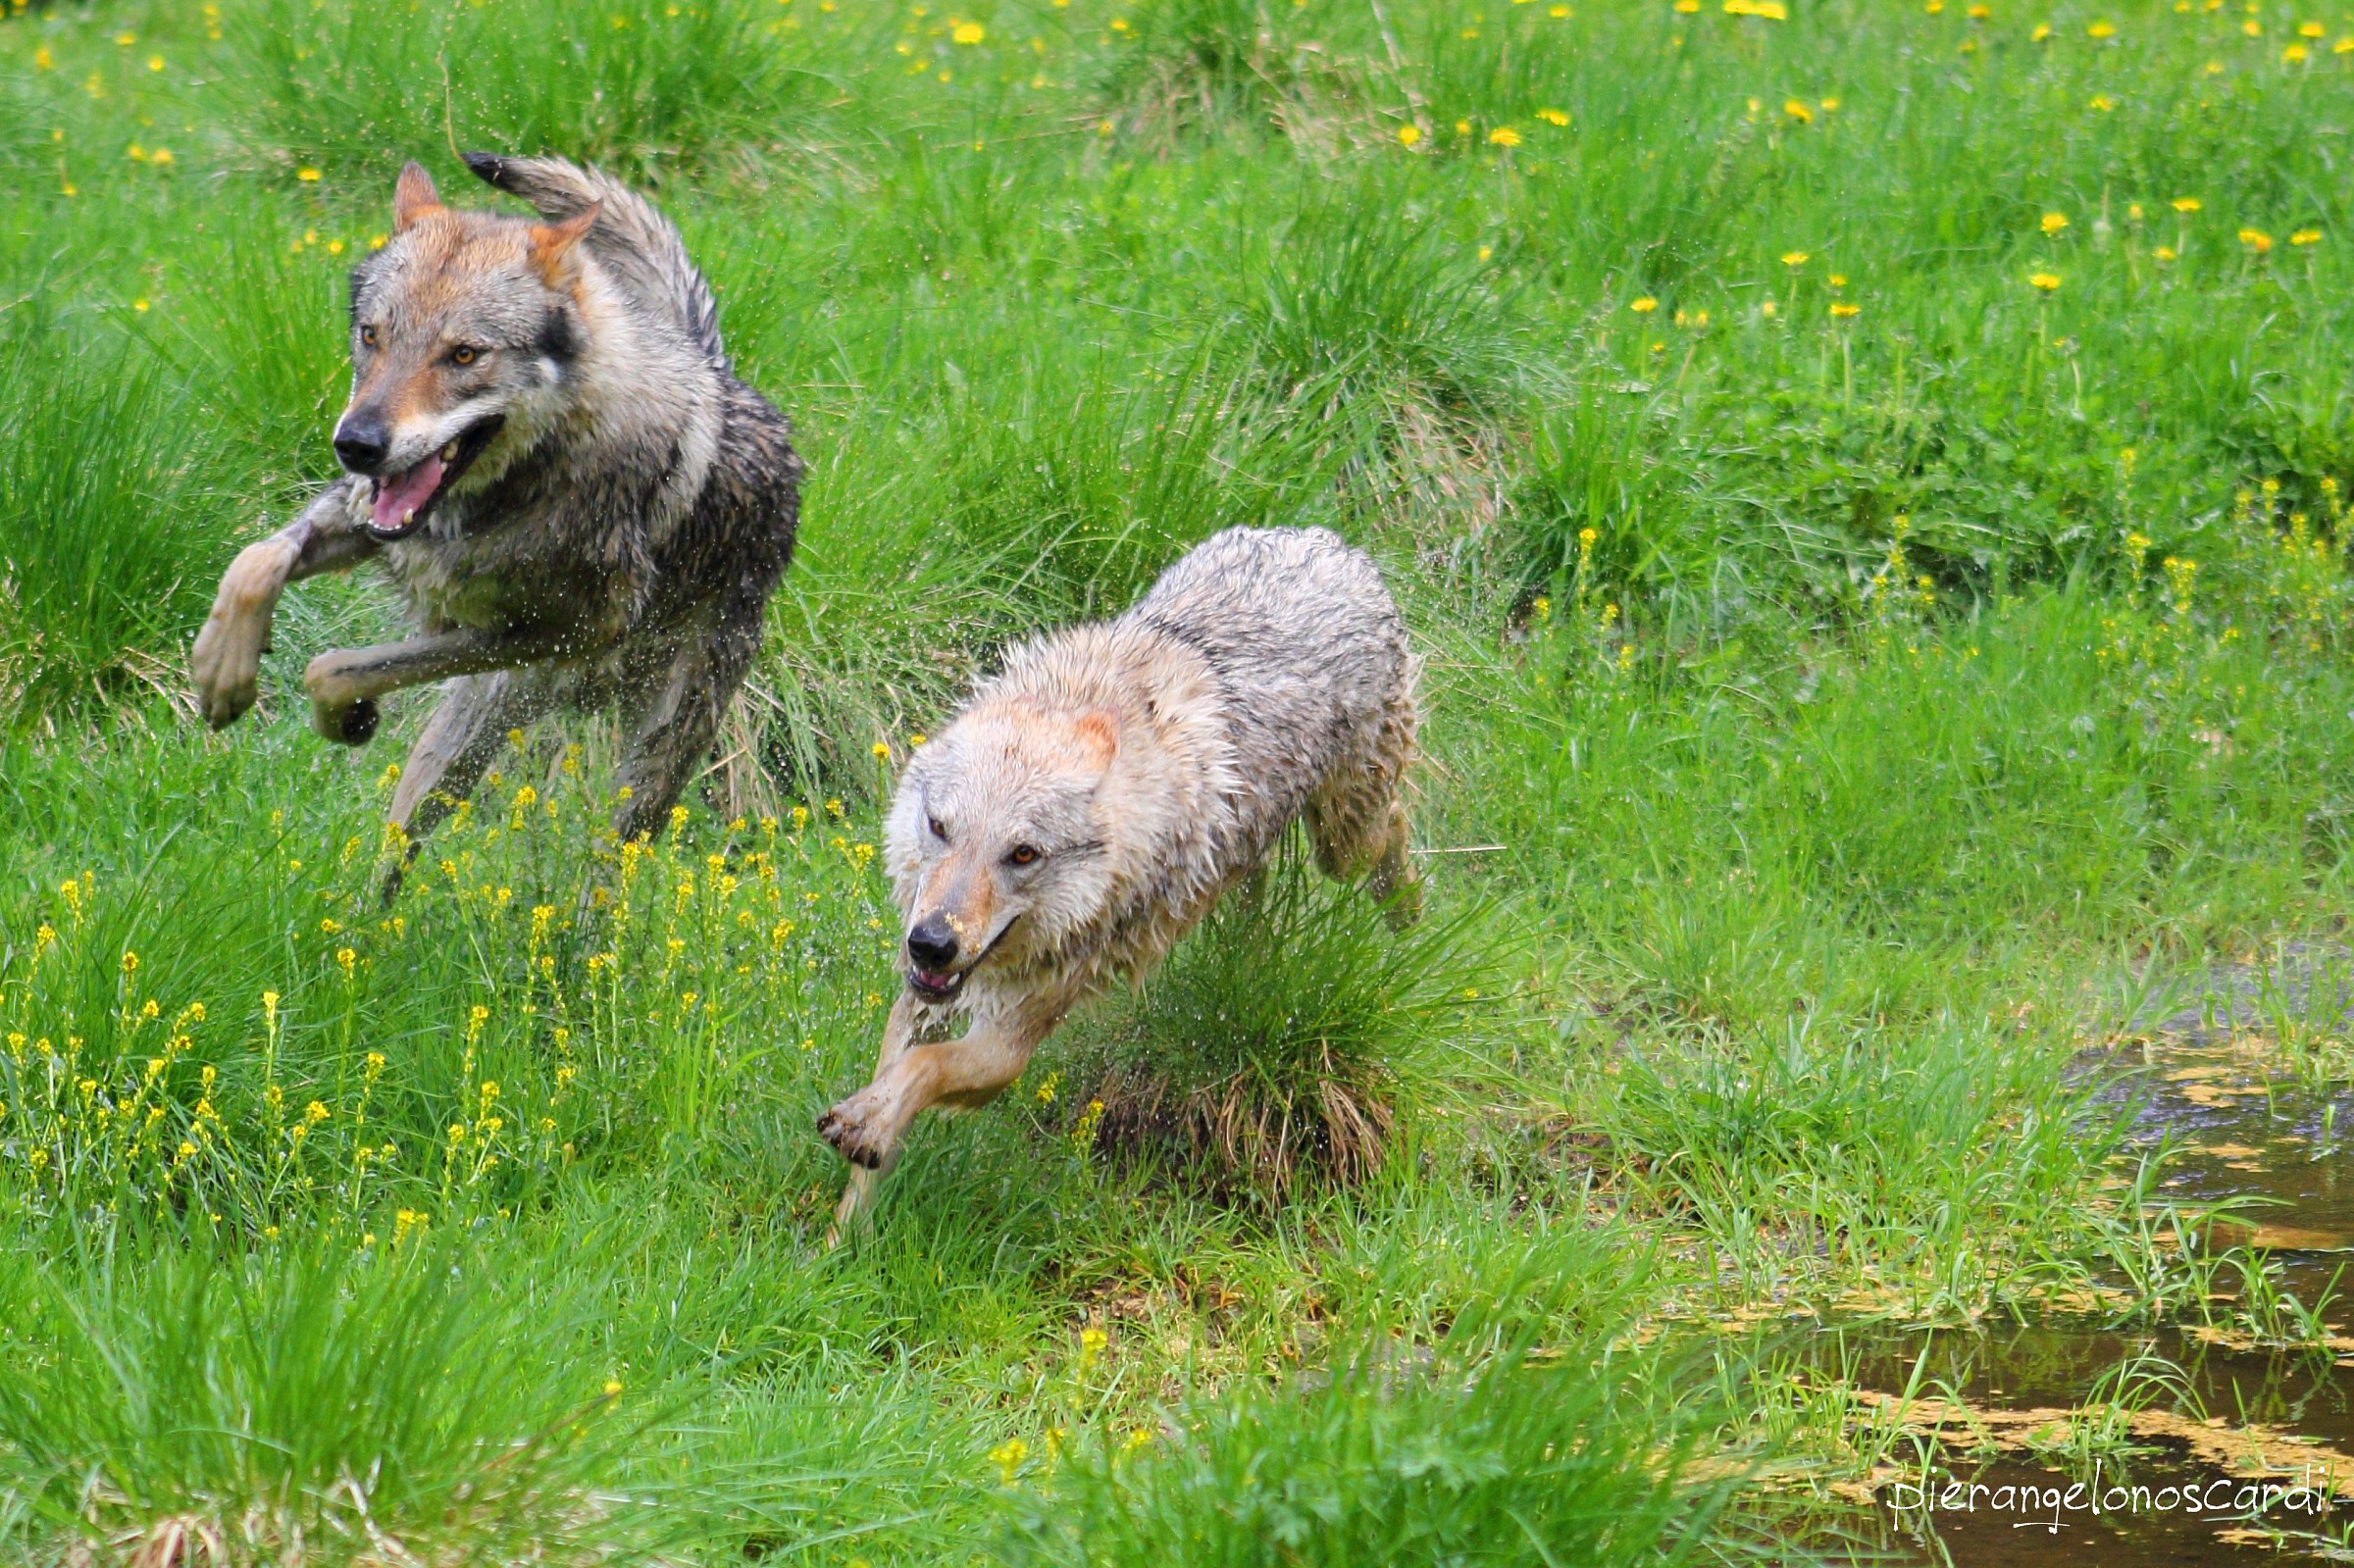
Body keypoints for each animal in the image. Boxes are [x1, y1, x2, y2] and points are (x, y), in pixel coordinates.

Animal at [189, 154, 800, 861]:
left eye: (463, 354)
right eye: (372, 336)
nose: (357, 445)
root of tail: (717, 366)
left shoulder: (565, 629)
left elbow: (330, 666)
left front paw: (348, 716)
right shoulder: (373, 522)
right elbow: (254, 562)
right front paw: (220, 670)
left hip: (641, 770)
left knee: (607, 866)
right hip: (448, 756)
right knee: (396, 852)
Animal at [819, 525, 1420, 1229]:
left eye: (1022, 854)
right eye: (940, 828)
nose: (933, 943)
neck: (1082, 700)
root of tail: (1327, 539)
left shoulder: (1011, 1040)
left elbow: (925, 1068)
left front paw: (869, 1126)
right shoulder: (924, 994)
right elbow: (892, 1094)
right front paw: (843, 1236)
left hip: (1344, 840)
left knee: (1393, 828)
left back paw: (1410, 920)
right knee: (1257, 889)